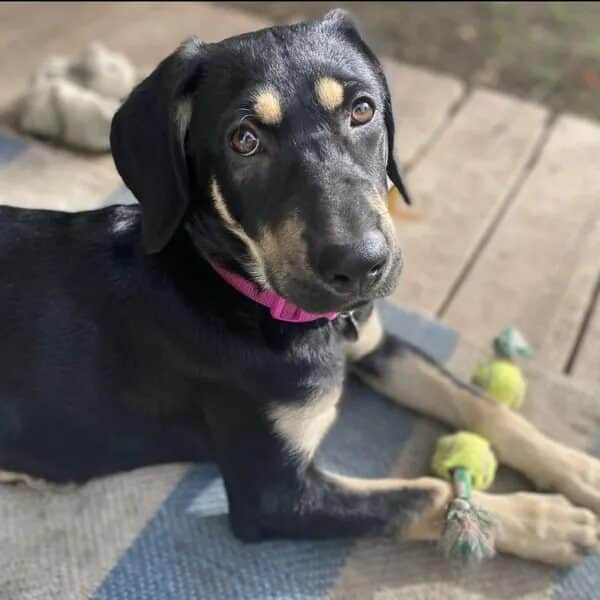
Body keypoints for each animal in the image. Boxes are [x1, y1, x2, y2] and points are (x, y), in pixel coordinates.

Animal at [1, 10, 600, 568]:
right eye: (244, 141)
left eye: (362, 110)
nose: (361, 267)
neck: (244, 294)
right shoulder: (276, 497)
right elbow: (424, 494)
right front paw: (542, 520)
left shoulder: (376, 341)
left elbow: (481, 404)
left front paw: (579, 469)